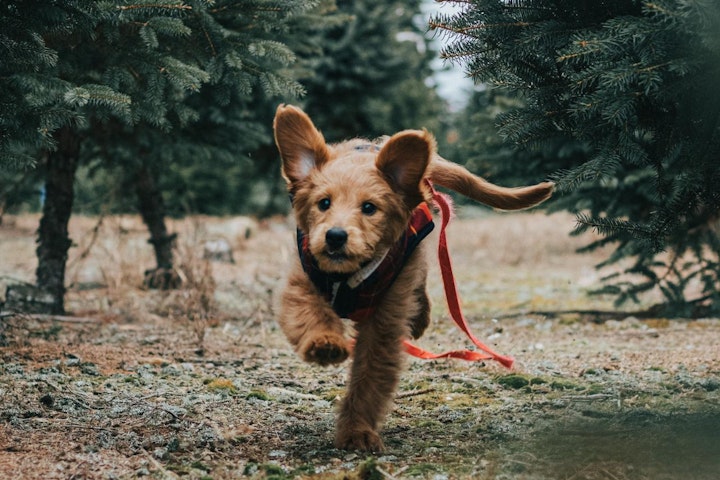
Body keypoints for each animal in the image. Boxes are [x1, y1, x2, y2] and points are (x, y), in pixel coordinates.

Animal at [272, 103, 556, 452]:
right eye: (323, 203)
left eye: (369, 208)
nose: (336, 236)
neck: (349, 274)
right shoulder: (301, 281)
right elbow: (310, 314)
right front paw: (324, 343)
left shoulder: (384, 322)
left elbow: (369, 379)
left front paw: (356, 431)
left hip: (413, 259)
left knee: (420, 285)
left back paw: (420, 318)